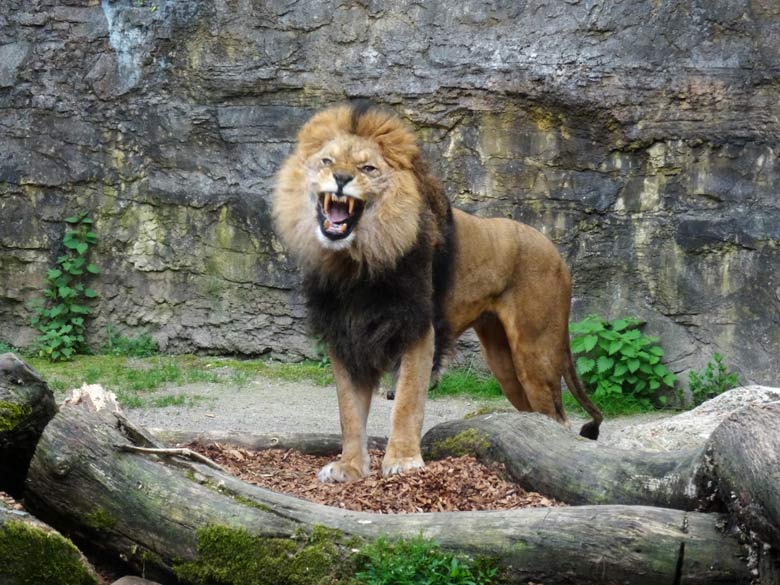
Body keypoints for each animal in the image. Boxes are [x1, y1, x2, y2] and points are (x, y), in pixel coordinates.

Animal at [274, 102, 604, 482]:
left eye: (367, 168)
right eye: (327, 161)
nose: (341, 178)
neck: (357, 262)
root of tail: (558, 254)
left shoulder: (418, 327)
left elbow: (407, 400)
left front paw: (403, 462)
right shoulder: (344, 336)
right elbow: (349, 411)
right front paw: (350, 467)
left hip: (536, 350)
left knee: (557, 418)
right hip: (503, 360)